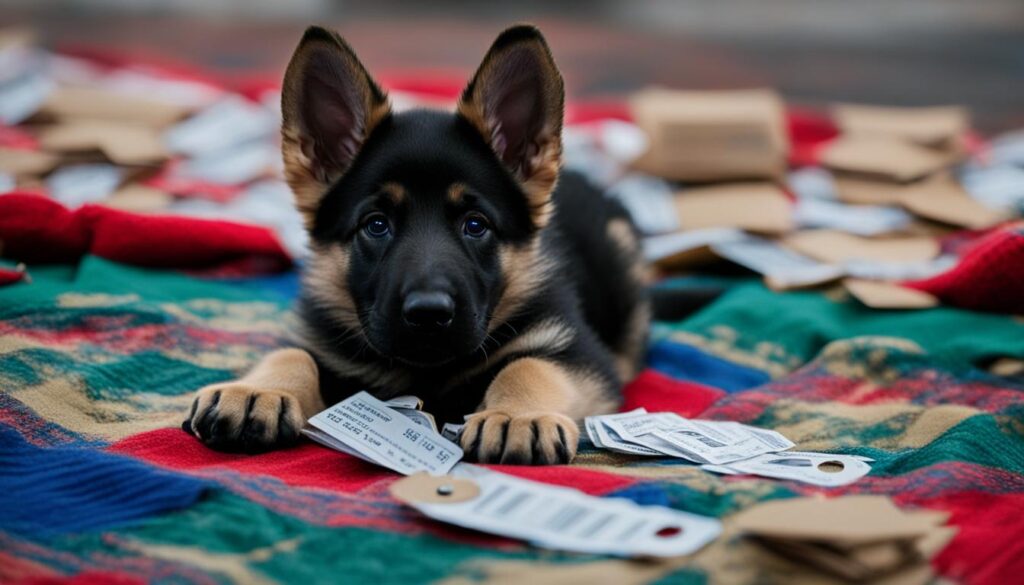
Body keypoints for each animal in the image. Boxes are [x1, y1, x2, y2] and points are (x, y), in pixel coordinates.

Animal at [183, 24, 647, 467]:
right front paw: (256, 391)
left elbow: (528, 366)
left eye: (475, 225)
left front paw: (517, 417)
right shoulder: (324, 343)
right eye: (376, 225)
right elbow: (293, 355)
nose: (428, 314)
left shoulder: (580, 354)